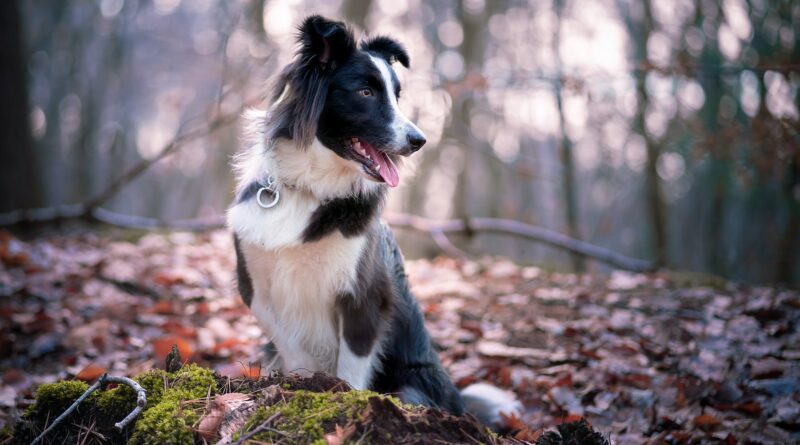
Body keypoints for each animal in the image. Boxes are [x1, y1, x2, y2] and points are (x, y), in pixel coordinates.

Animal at [228, 15, 520, 426]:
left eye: (397, 95)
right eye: (365, 92)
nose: (419, 140)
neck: (312, 189)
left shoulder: (364, 296)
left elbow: (352, 370)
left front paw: (342, 400)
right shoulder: (255, 285)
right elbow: (292, 347)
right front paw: (301, 386)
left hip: (414, 387)